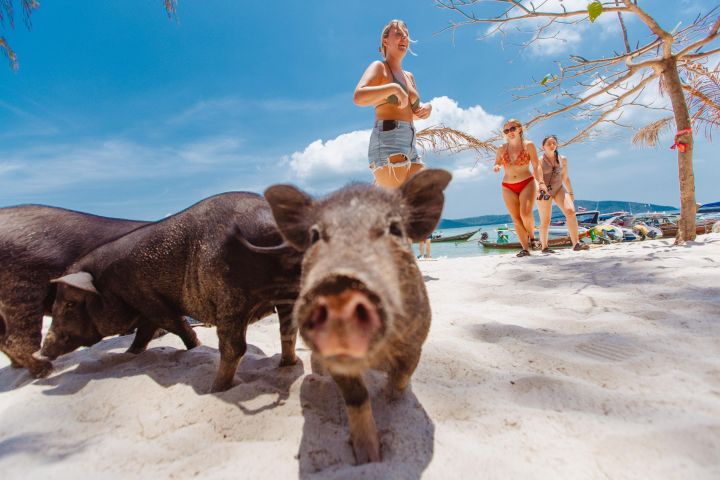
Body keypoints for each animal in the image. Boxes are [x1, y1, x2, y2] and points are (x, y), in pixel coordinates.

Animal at [40, 192, 302, 392]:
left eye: (69, 304)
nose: (43, 351)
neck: (107, 285)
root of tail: (269, 224)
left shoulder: (148, 299)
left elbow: (176, 325)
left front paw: (194, 346)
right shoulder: (146, 306)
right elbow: (144, 334)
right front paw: (130, 352)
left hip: (230, 296)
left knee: (234, 347)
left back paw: (214, 389)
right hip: (286, 293)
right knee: (287, 331)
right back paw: (287, 364)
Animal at [263, 168, 452, 463]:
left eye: (395, 229)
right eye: (315, 235)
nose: (339, 285)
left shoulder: (416, 340)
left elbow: (401, 378)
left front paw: (393, 399)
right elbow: (357, 398)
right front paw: (368, 457)